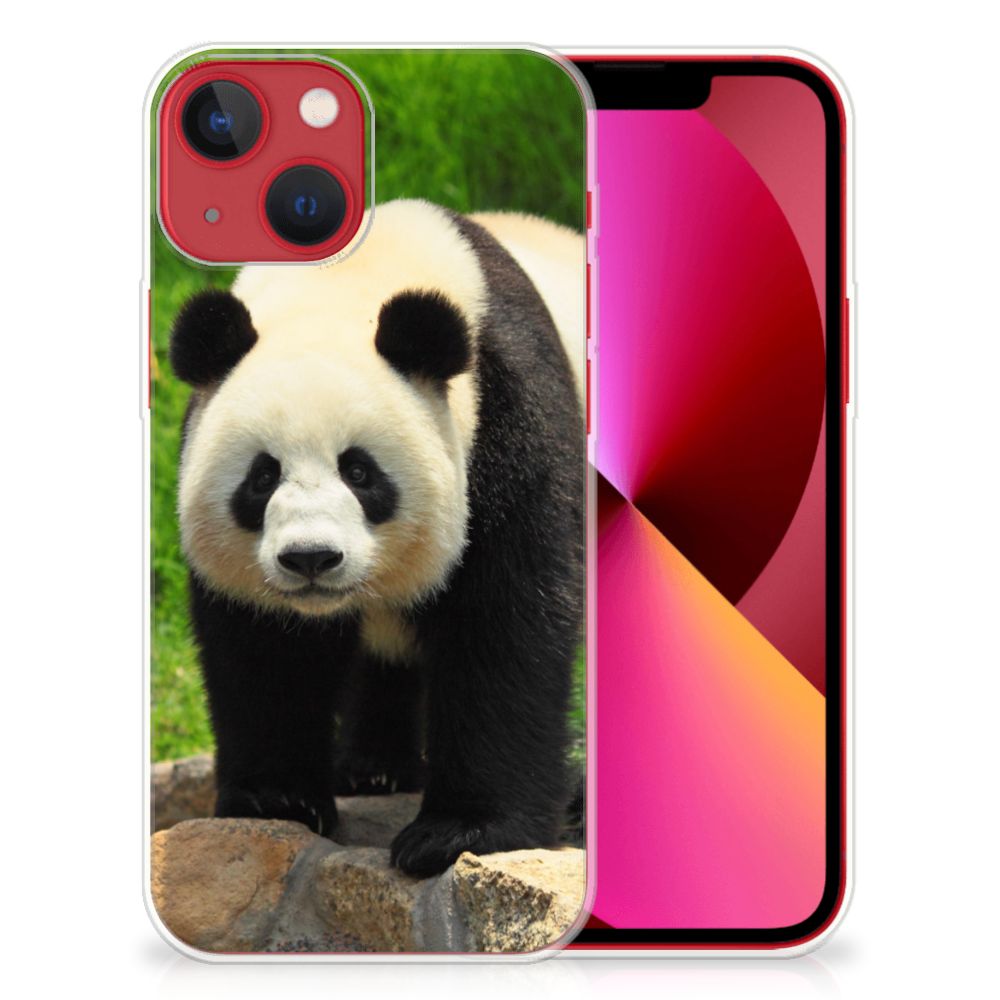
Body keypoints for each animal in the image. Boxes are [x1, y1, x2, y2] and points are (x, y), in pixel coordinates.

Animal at [169, 199, 585, 877]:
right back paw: (373, 769)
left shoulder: (509, 419)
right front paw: (277, 799)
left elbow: (506, 622)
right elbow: (265, 648)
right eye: (262, 476)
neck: (346, 285)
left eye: (360, 472)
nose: (311, 558)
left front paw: (459, 832)